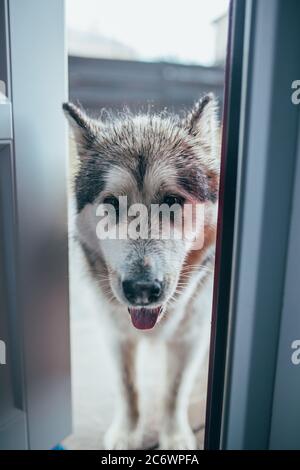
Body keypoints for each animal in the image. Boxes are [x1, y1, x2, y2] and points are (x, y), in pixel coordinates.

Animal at [63, 93, 219, 450]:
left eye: (172, 201)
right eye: (112, 204)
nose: (142, 290)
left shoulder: (190, 337)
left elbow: (174, 392)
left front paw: (174, 436)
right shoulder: (115, 333)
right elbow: (128, 387)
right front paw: (127, 433)